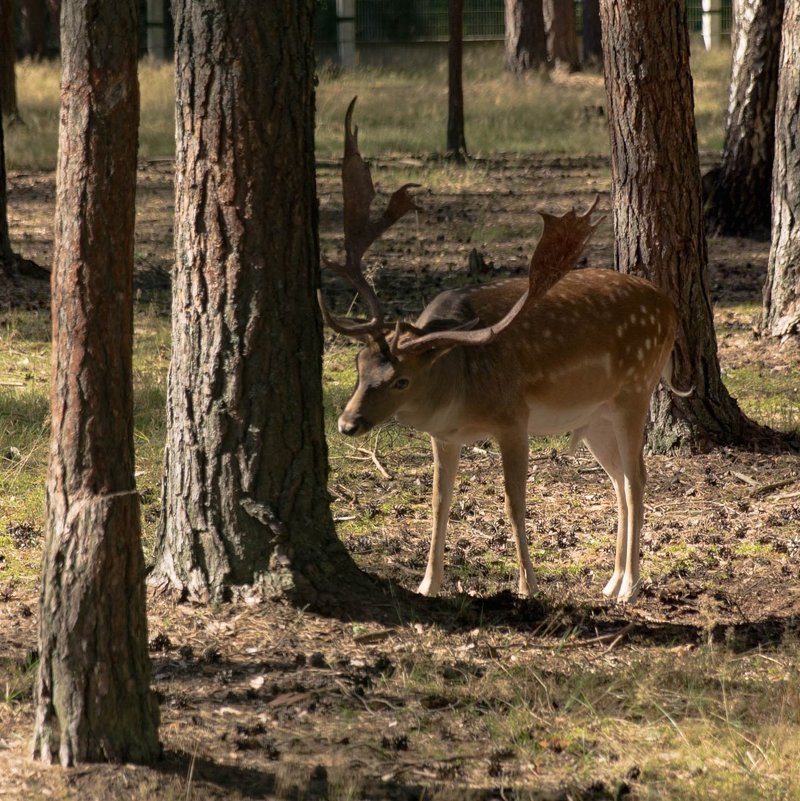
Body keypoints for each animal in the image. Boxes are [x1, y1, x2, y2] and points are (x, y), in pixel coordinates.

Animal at [318, 98, 688, 600]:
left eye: (401, 380)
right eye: (359, 365)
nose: (347, 423)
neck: (457, 385)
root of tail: (670, 309)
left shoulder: (514, 417)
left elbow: (514, 503)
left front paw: (528, 585)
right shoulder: (444, 436)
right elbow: (439, 503)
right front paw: (427, 584)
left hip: (636, 388)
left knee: (637, 478)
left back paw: (629, 584)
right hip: (596, 417)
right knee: (617, 481)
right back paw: (611, 581)